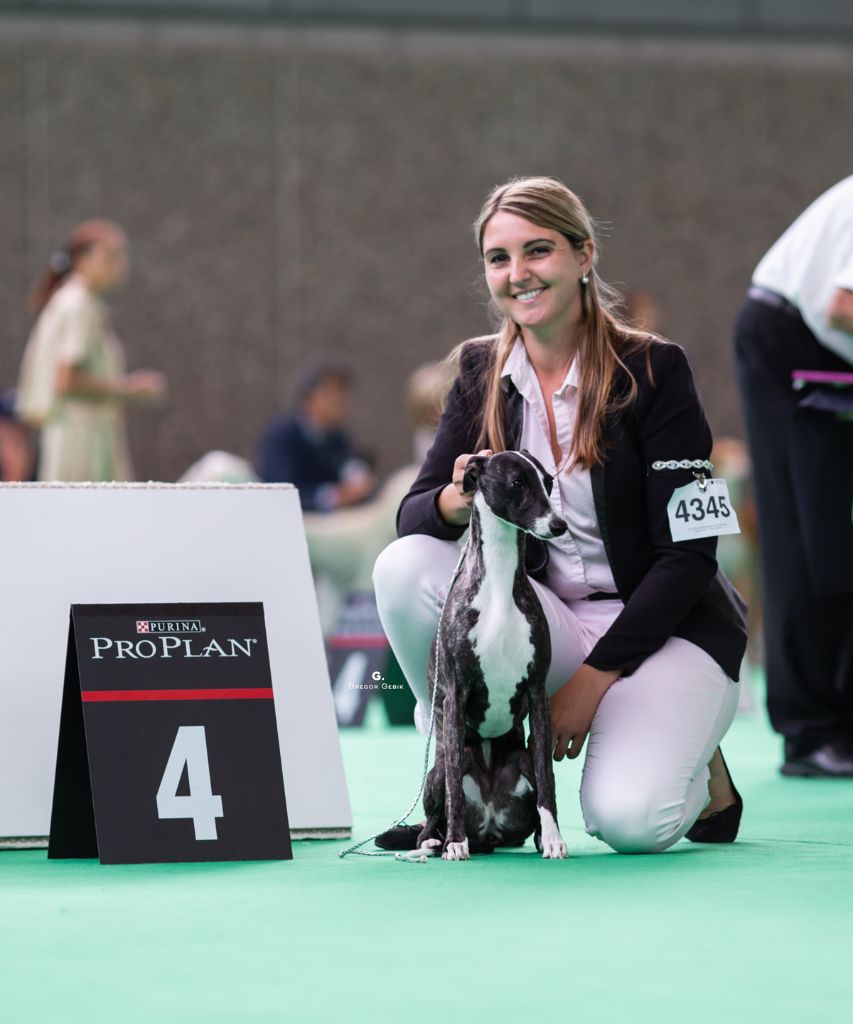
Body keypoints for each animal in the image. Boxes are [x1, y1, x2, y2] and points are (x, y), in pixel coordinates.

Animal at [414, 449, 570, 861]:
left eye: (548, 482)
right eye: (517, 483)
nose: (559, 524)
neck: (498, 582)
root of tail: (489, 829)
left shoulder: (537, 691)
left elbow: (548, 781)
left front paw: (553, 838)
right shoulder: (455, 694)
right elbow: (454, 787)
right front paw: (455, 842)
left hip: (520, 759)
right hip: (436, 772)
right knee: (432, 813)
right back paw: (436, 841)